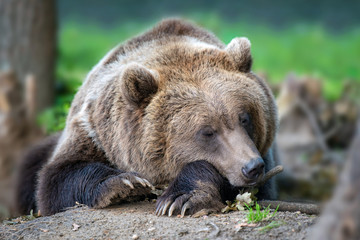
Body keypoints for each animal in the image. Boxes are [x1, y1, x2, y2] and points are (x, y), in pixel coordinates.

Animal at [15, 18, 278, 217]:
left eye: (245, 118)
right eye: (207, 132)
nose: (252, 166)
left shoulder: (264, 155)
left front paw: (180, 198)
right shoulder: (93, 133)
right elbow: (55, 180)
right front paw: (125, 183)